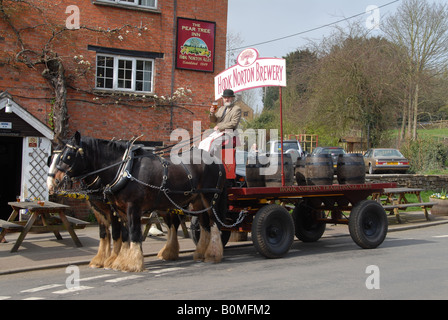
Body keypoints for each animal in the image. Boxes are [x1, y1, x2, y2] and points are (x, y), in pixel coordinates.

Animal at [49, 131, 228, 272]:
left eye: (67, 156)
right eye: (53, 157)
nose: (54, 182)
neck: (124, 169)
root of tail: (215, 160)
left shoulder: (131, 207)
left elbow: (131, 232)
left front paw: (132, 263)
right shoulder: (116, 210)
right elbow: (122, 234)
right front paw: (118, 261)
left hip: (209, 199)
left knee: (214, 224)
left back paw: (213, 254)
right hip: (195, 202)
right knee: (202, 225)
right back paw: (198, 253)